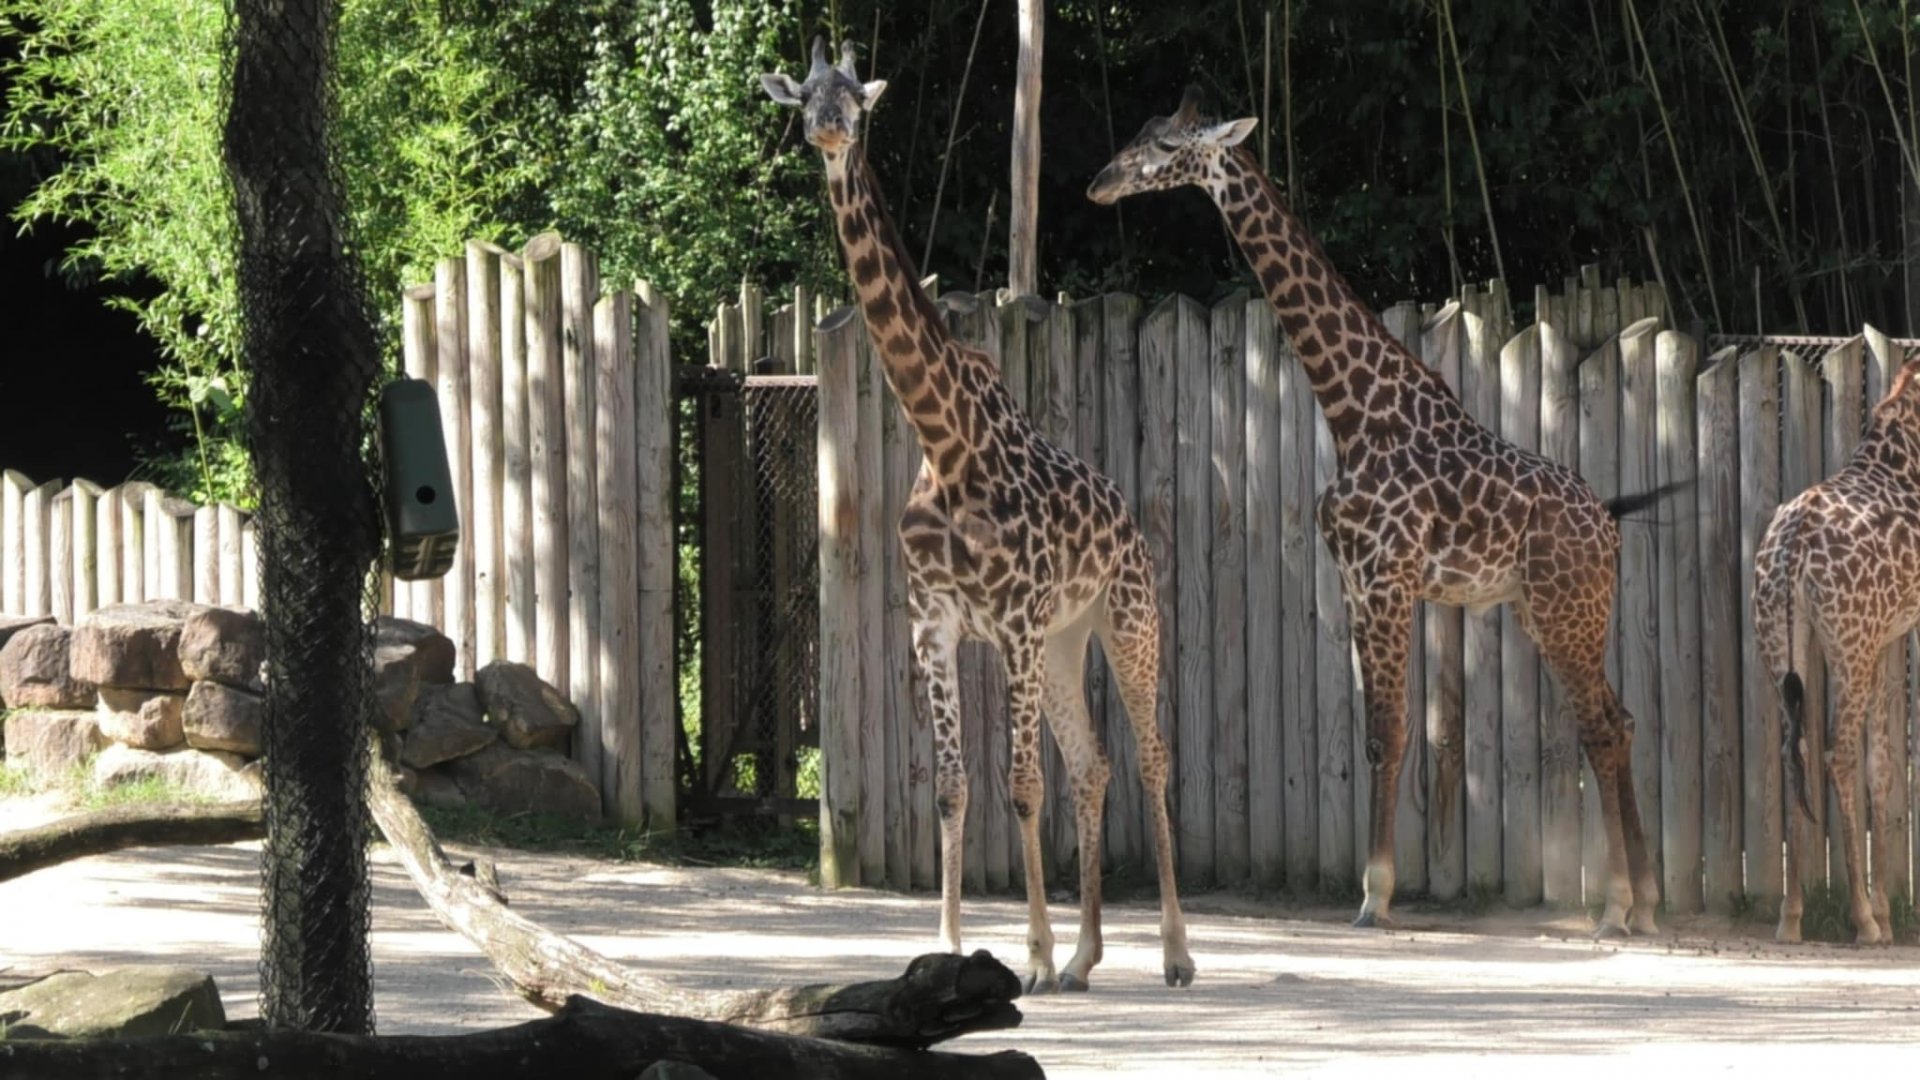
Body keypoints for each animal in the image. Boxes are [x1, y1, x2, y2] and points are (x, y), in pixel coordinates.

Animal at [760, 39, 1195, 992]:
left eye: (860, 100)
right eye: (803, 95)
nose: (829, 132)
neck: (945, 437)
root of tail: (1131, 523)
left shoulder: (1017, 624)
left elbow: (1021, 786)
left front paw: (1026, 957)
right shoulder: (936, 624)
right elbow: (956, 786)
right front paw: (953, 950)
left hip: (1124, 620)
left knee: (1149, 757)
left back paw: (1175, 954)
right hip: (1069, 642)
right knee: (1094, 765)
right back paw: (1086, 956)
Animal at [1088, 86, 1686, 936]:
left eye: (1168, 146)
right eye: (1141, 133)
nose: (1099, 184)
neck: (1354, 413)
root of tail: (1607, 525)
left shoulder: (1385, 579)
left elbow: (1388, 731)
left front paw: (1375, 895)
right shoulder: (1355, 581)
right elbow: (1379, 735)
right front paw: (1373, 888)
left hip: (1566, 607)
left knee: (1602, 728)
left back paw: (1619, 908)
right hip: (1547, 610)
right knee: (1621, 720)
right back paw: (1645, 901)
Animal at [1754, 355, 1920, 945]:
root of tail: (1795, 544)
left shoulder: (1888, 635)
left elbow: (1884, 766)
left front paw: (1890, 912)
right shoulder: (1895, 632)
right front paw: (1885, 914)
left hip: (1782, 640)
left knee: (1794, 752)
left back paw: (1791, 915)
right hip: (1847, 644)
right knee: (1836, 753)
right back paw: (1862, 920)